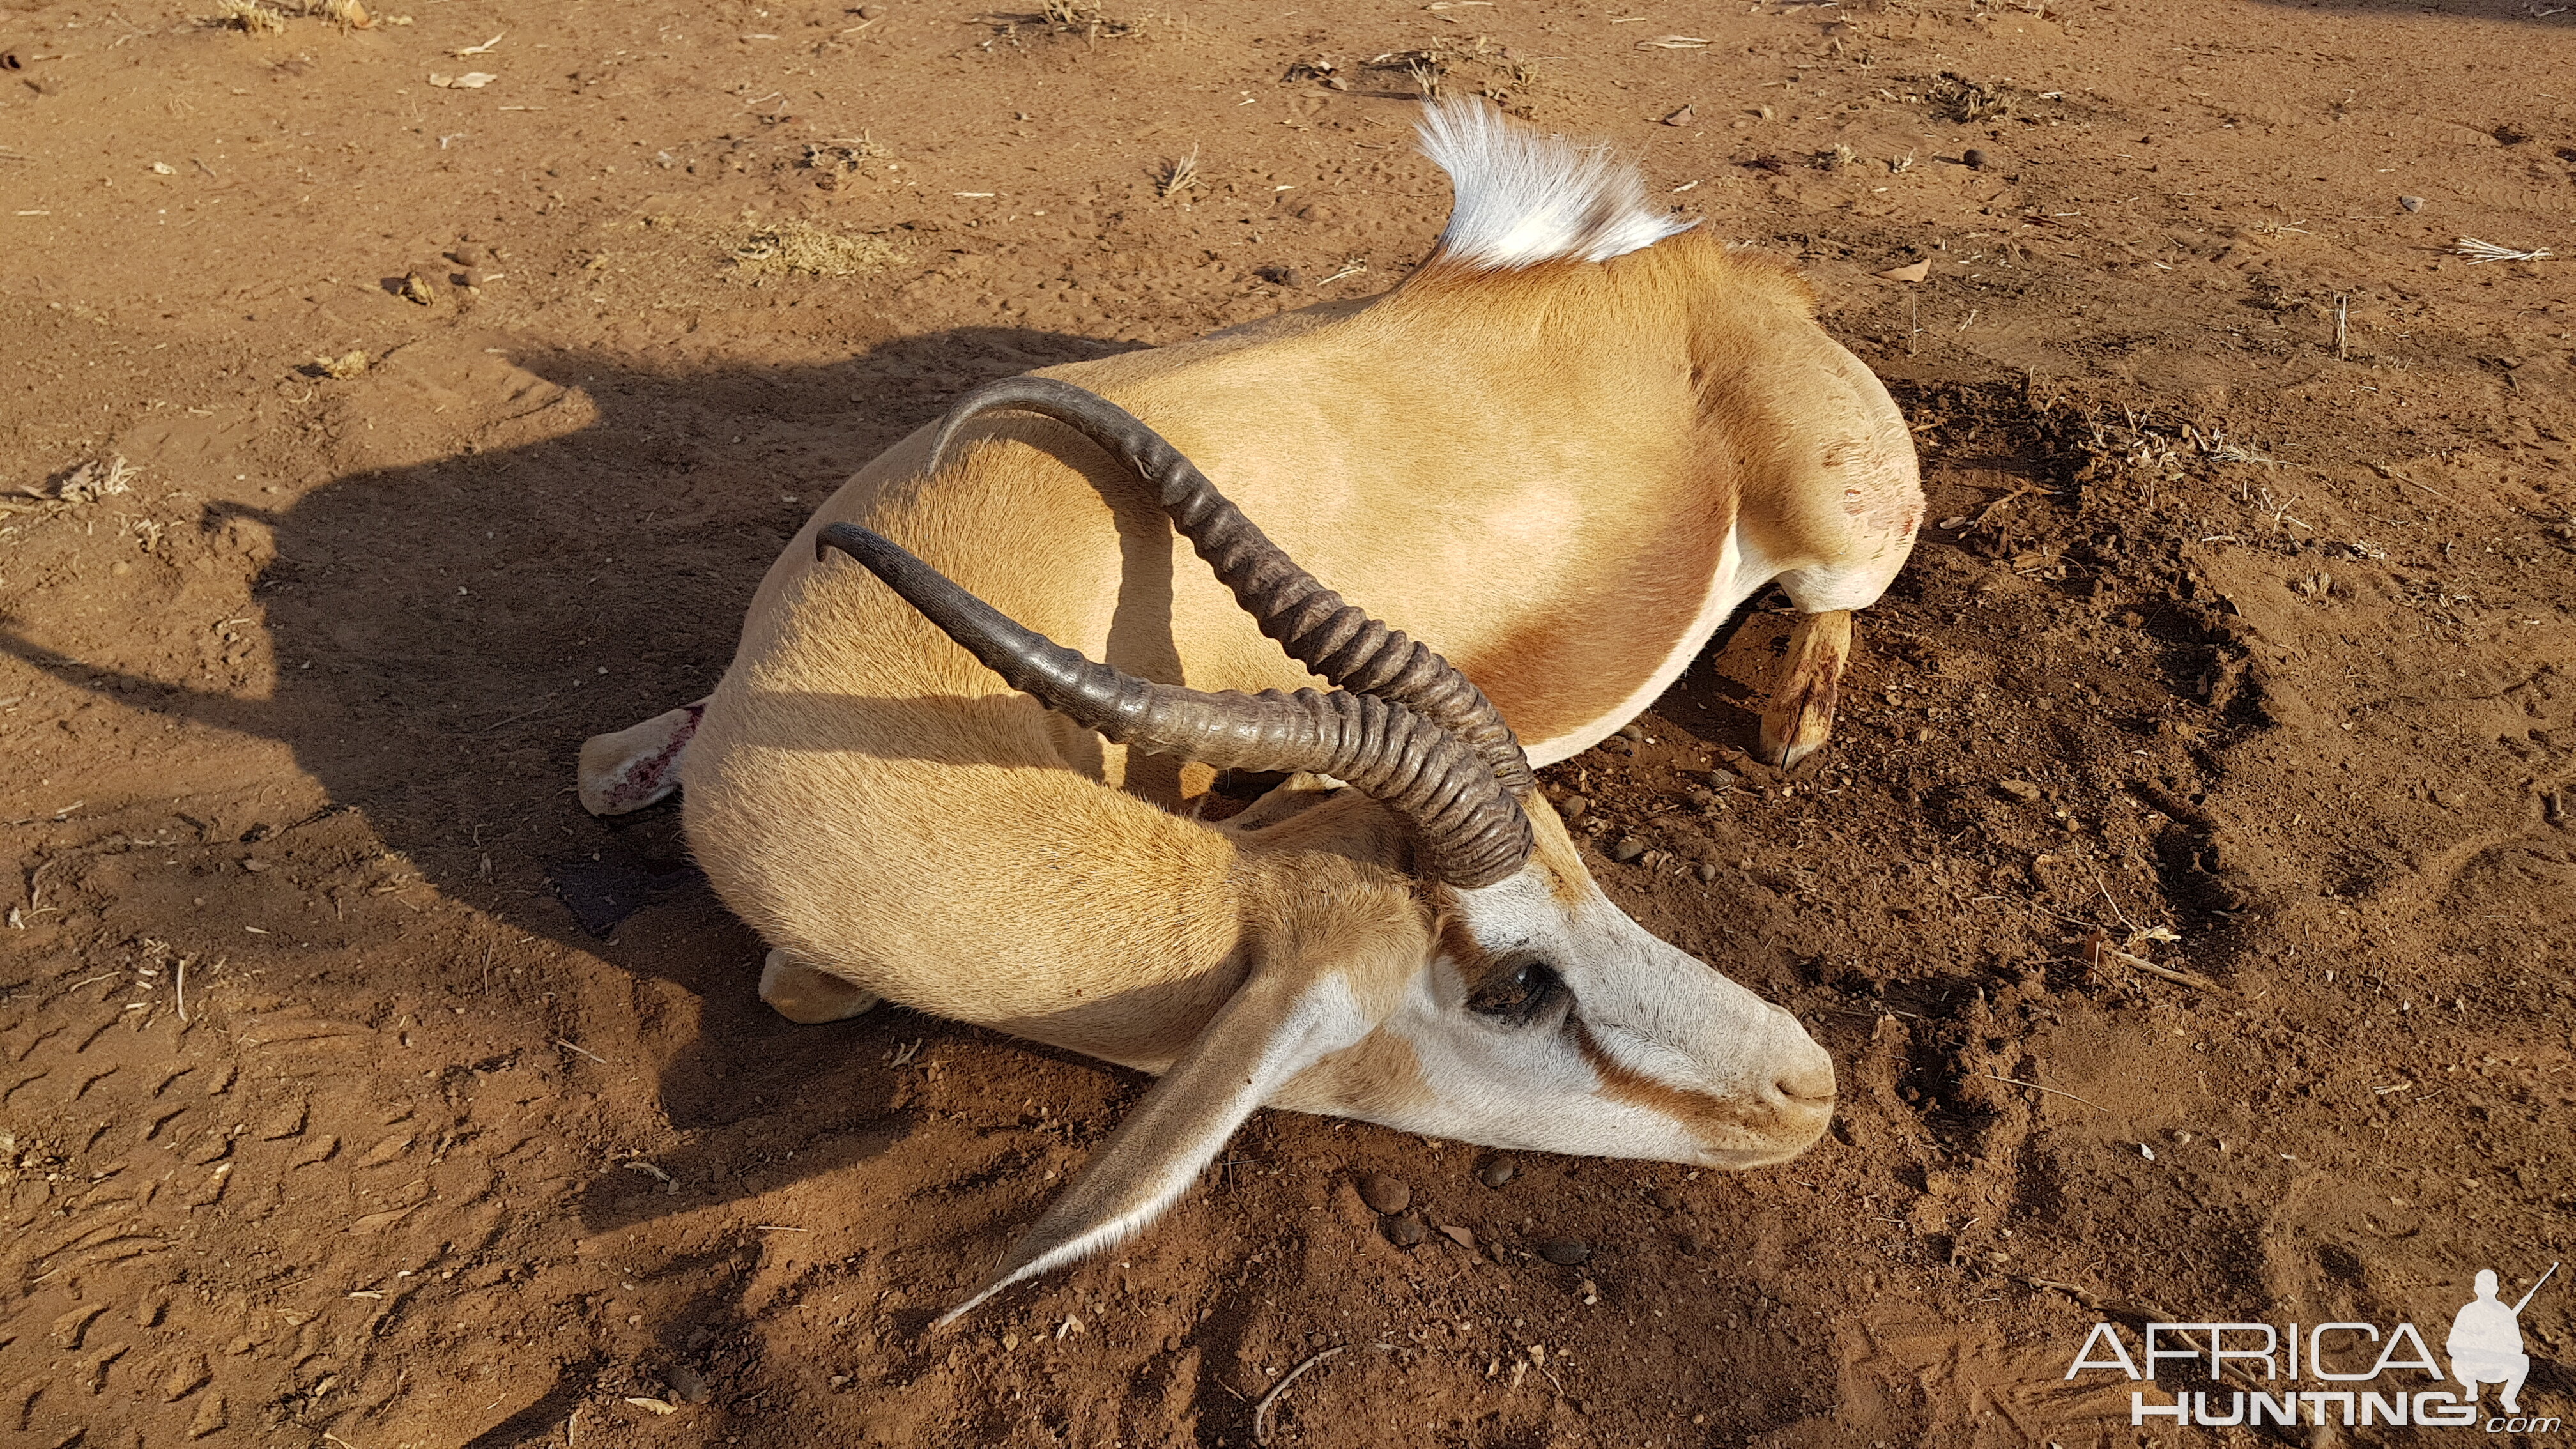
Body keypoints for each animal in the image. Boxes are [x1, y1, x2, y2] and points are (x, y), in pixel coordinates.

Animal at [585, 98, 1916, 1320]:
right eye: (1513, 985)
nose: (1805, 1082)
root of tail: (1712, 273)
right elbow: (621, 789)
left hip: (1838, 555)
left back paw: (1795, 719)